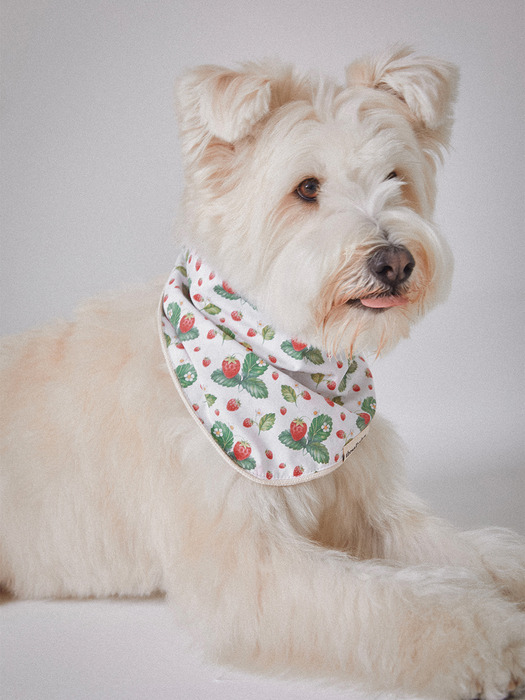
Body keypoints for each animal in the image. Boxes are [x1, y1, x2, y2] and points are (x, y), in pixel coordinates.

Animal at [1, 46, 524, 696]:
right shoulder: (252, 568)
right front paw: (495, 637)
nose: (395, 261)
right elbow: (398, 601)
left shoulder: (368, 514)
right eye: (306, 188)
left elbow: (473, 554)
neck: (293, 362)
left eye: (396, 178)